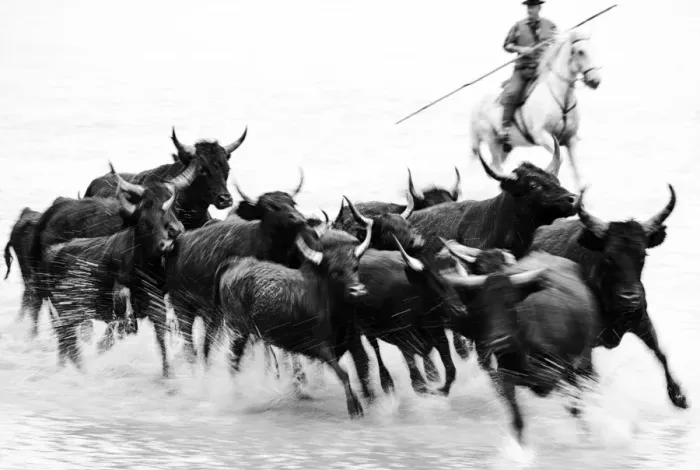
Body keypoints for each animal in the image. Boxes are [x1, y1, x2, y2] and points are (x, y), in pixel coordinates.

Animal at [44, 165, 185, 371]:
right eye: (144, 220)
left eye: (172, 209)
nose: (167, 242)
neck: (144, 265)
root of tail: (55, 251)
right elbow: (121, 310)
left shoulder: (157, 303)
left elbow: (161, 337)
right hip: (66, 313)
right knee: (68, 343)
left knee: (67, 344)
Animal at [213, 218, 374, 418]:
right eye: (335, 271)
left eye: (355, 266)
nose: (357, 291)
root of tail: (235, 264)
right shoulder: (321, 346)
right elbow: (343, 373)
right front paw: (354, 407)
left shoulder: (351, 341)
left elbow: (361, 366)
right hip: (238, 331)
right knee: (233, 362)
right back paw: (239, 398)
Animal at [396, 241, 600, 445]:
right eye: (483, 306)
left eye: (511, 304)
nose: (499, 341)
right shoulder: (503, 374)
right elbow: (516, 419)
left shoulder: (560, 371)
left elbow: (573, 404)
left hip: (584, 357)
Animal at [528, 185, 689, 410]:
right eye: (608, 257)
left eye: (642, 255)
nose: (629, 298)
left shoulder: (642, 322)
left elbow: (661, 354)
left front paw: (679, 397)